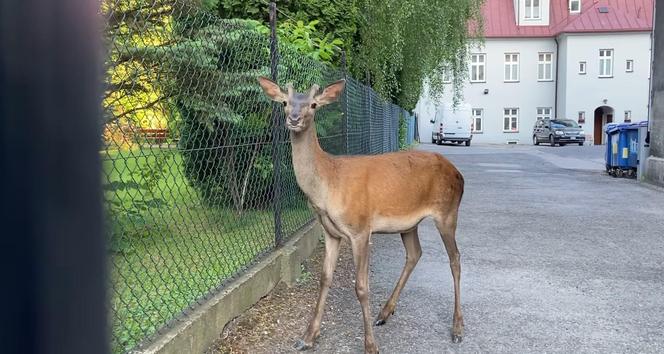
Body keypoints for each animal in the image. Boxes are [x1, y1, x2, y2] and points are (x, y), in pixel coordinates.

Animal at [256, 77, 464, 354]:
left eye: (313, 104)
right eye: (284, 102)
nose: (294, 118)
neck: (327, 186)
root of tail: (459, 175)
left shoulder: (360, 229)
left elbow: (361, 287)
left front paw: (370, 346)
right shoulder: (331, 232)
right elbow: (324, 279)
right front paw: (308, 337)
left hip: (447, 211)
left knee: (455, 259)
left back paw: (457, 328)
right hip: (409, 223)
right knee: (415, 253)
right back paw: (384, 313)